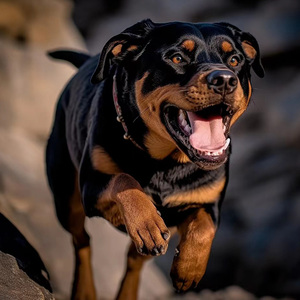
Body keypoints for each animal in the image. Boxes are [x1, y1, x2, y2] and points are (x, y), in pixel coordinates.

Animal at [45, 19, 264, 300]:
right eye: (177, 57)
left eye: (235, 59)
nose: (225, 79)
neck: (167, 163)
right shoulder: (92, 187)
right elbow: (124, 180)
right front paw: (146, 222)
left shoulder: (206, 201)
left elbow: (204, 229)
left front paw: (188, 269)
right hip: (66, 198)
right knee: (81, 240)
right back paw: (84, 290)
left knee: (133, 260)